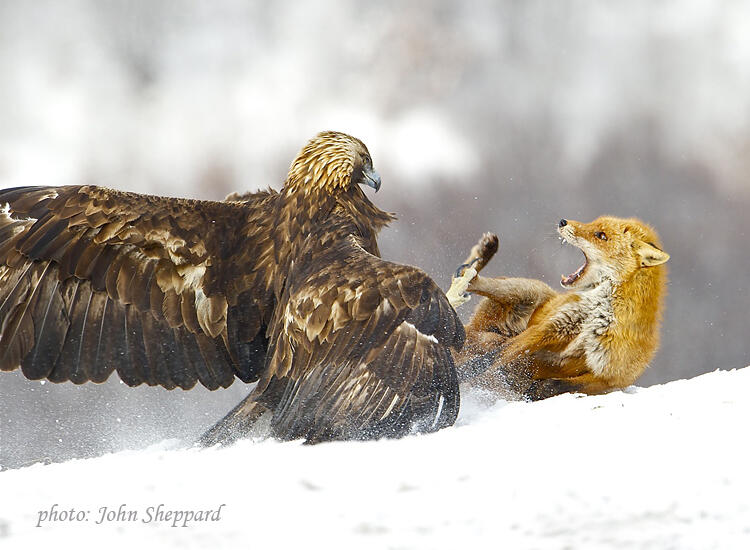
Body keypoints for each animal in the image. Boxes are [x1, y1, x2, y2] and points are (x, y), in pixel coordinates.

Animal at [446, 216, 670, 400]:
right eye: (594, 224)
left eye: (601, 235)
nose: (563, 221)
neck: (597, 317)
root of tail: (474, 329)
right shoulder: (549, 327)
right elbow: (494, 357)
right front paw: (460, 375)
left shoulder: (610, 379)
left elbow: (560, 386)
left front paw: (535, 388)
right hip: (528, 291)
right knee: (465, 283)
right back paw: (473, 268)